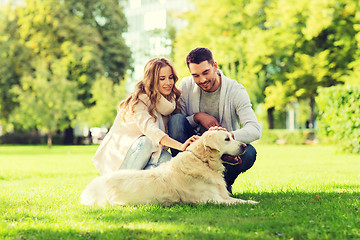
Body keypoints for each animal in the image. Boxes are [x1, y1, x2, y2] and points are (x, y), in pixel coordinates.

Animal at [80, 130, 258, 205]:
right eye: (227, 139)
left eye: (232, 137)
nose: (244, 146)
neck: (203, 161)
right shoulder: (210, 200)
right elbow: (236, 203)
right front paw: (253, 203)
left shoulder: (221, 196)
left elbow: (238, 200)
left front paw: (252, 201)